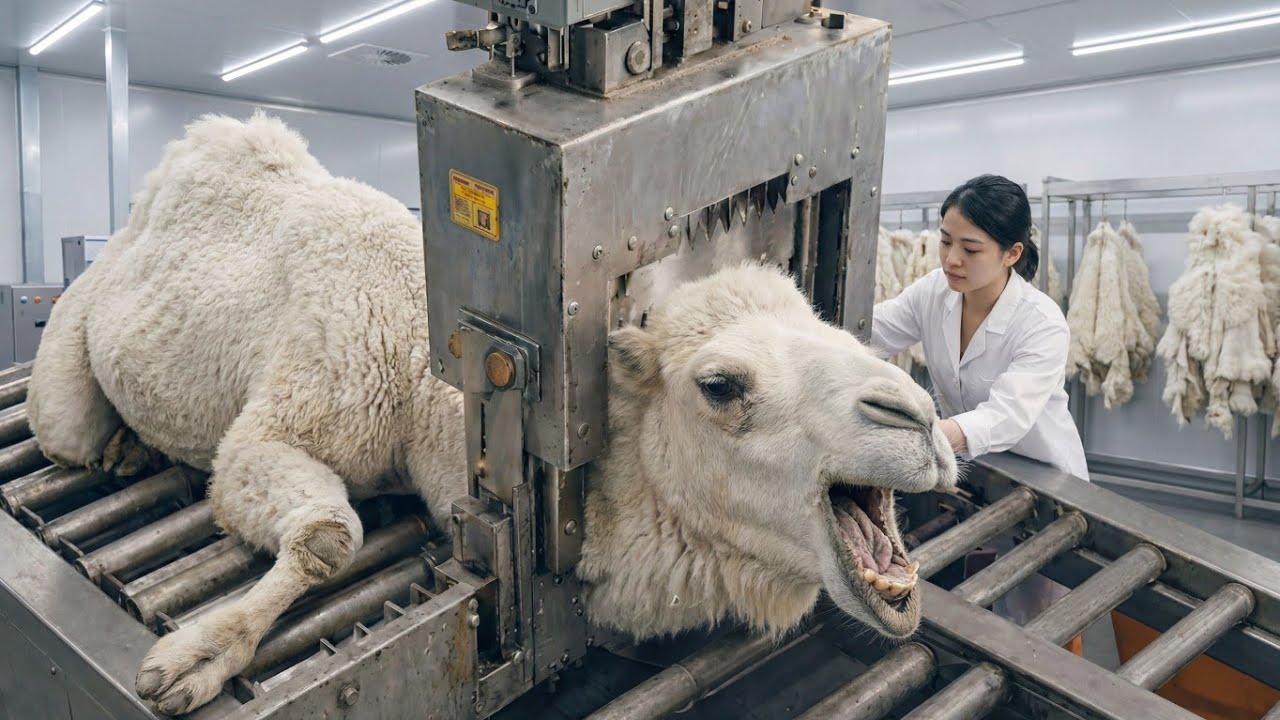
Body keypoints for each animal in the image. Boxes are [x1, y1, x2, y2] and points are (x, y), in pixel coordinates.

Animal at [26, 113, 958, 715]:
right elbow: (328, 538)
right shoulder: (290, 415)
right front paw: (194, 659)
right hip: (69, 348)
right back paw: (116, 449)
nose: (917, 421)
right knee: (64, 426)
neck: (424, 374)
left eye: (828, 318)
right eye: (721, 386)